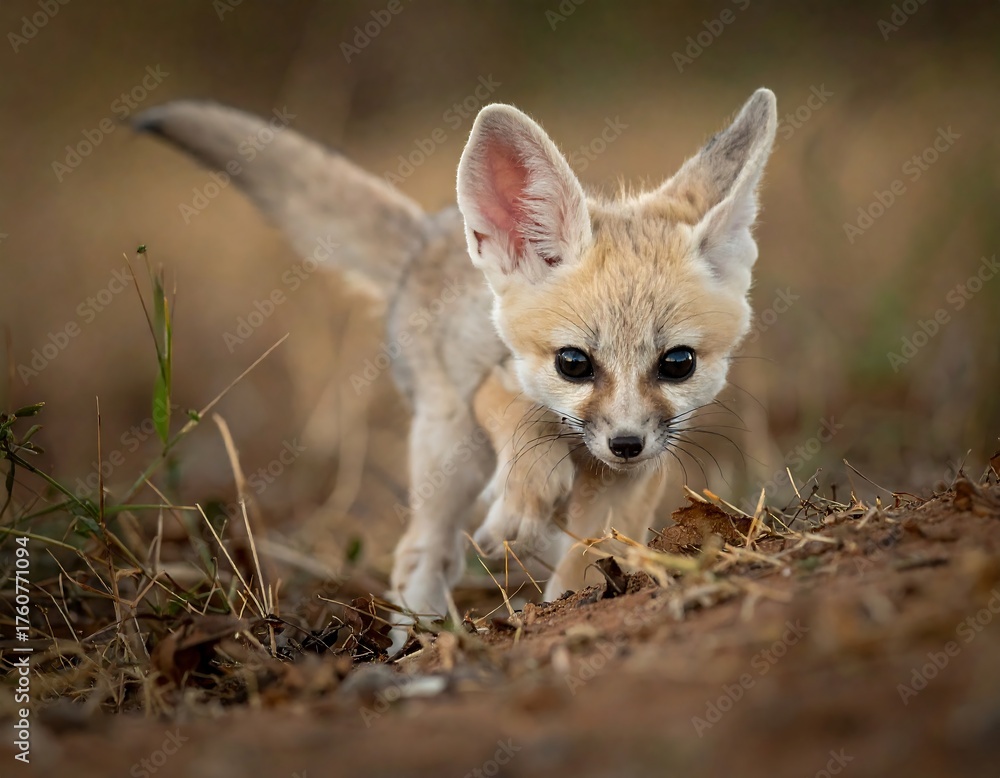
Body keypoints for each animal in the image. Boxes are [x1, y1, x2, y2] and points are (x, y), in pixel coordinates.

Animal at [132, 88, 777, 639]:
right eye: (573, 363)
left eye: (677, 363)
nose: (625, 443)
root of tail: (429, 235)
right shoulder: (493, 385)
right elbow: (529, 429)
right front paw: (531, 505)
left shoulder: (636, 480)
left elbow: (594, 550)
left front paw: (576, 588)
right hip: (449, 450)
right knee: (422, 551)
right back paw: (419, 638)